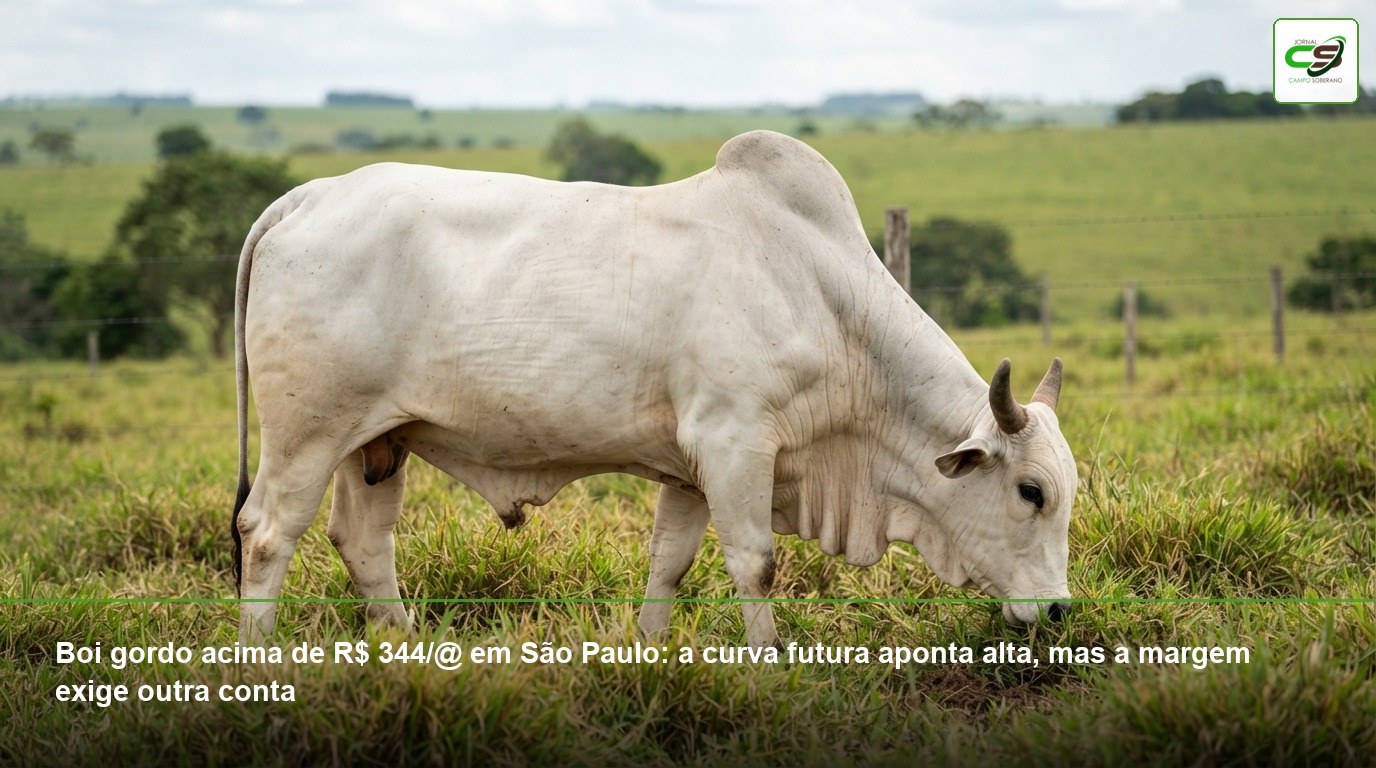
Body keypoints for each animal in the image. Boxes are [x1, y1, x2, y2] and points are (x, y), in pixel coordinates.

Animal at [232, 130, 1077, 647]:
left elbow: (670, 560)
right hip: (307, 433)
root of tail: (308, 196)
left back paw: (403, 647)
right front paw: (770, 664)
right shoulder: (736, 443)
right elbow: (755, 562)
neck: (822, 297)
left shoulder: (690, 467)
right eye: (1031, 492)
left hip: (377, 440)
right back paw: (262, 660)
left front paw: (649, 648)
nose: (1060, 609)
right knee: (267, 532)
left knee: (362, 539)